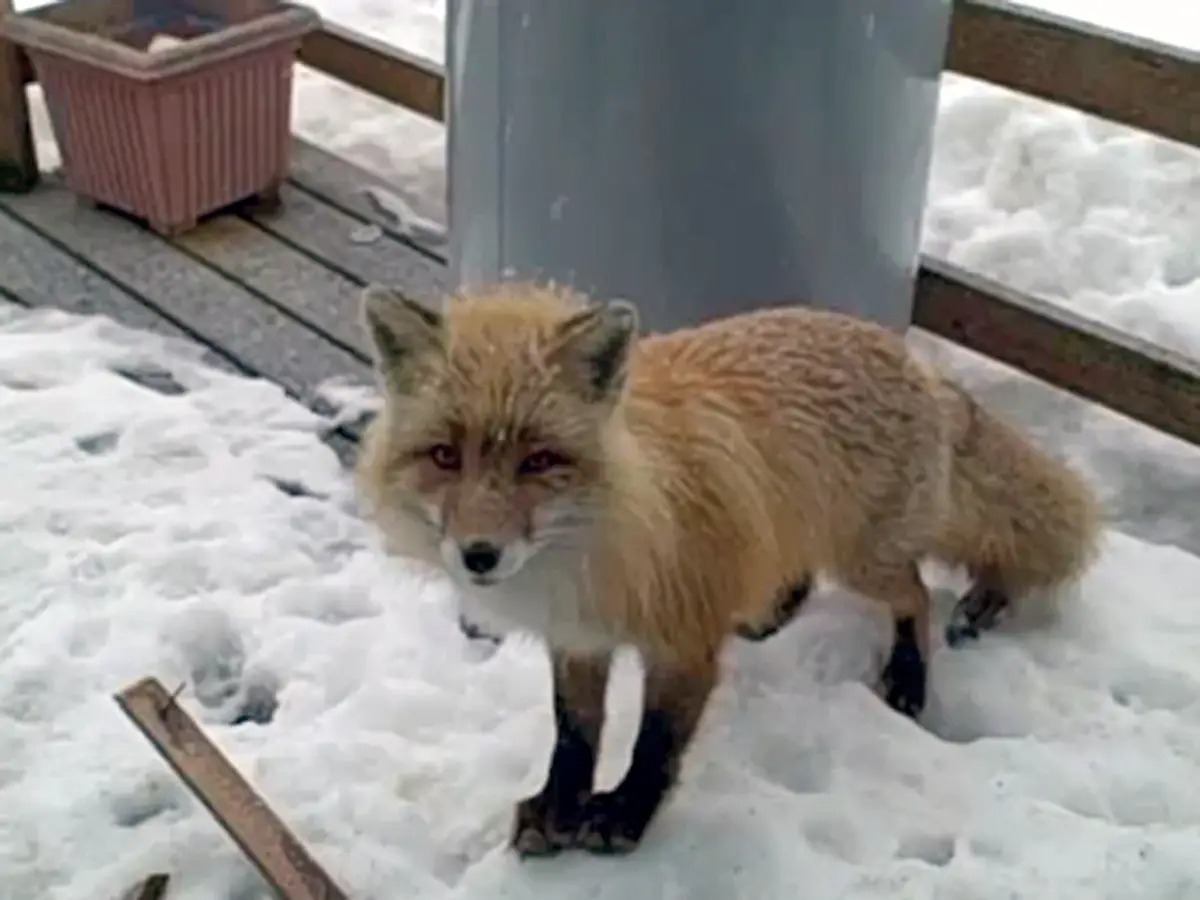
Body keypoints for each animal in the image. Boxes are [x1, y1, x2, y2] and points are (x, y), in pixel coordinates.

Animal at [355, 282, 1104, 859]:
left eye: (539, 460)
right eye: (445, 455)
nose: (479, 555)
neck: (599, 546)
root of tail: (912, 360)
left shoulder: (683, 644)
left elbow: (655, 743)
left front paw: (622, 816)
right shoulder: (580, 639)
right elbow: (575, 734)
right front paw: (560, 807)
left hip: (864, 559)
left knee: (915, 596)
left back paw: (908, 676)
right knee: (801, 571)